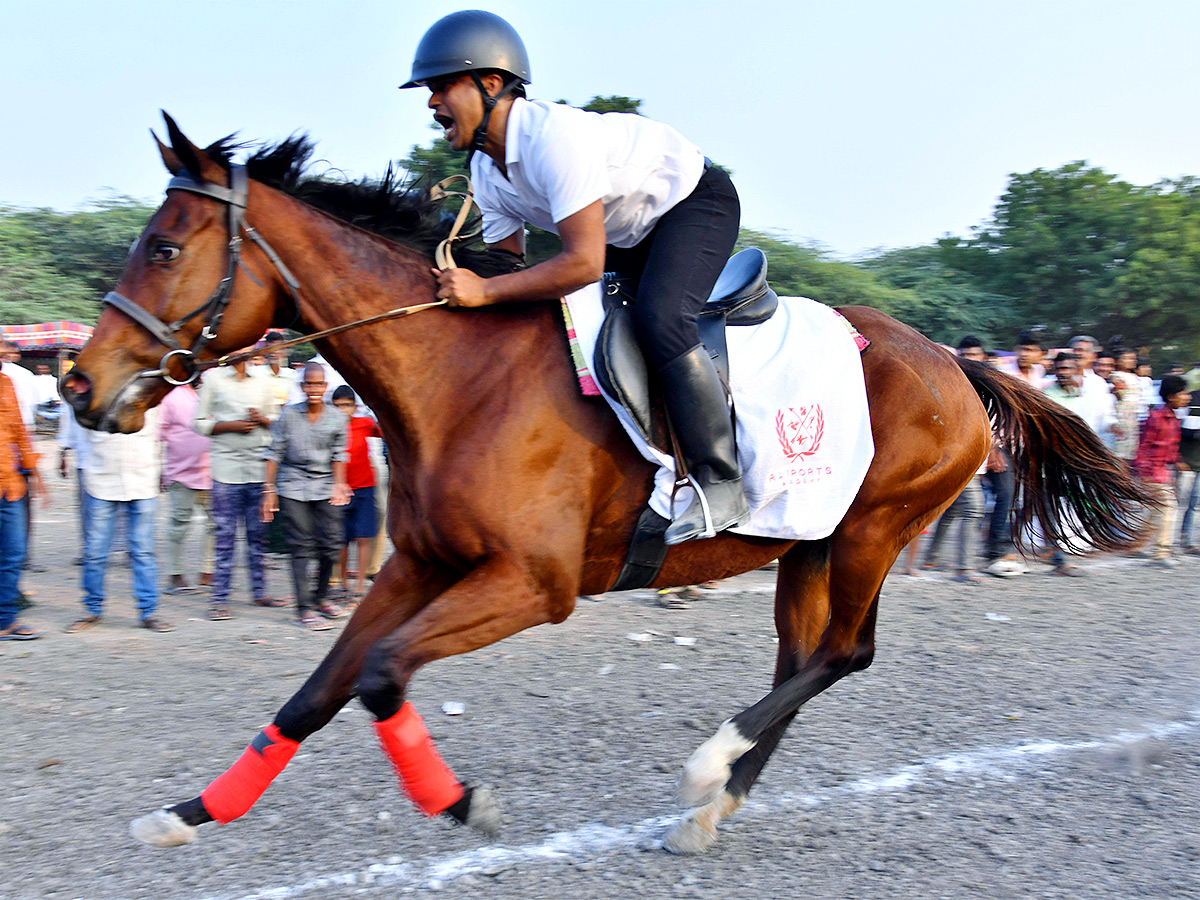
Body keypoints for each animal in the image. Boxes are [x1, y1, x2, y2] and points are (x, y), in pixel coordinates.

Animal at [60, 120, 1147, 859]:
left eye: (164, 247)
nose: (75, 387)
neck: (455, 379)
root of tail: (960, 364)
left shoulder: (531, 585)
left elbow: (379, 677)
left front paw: (464, 804)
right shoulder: (419, 564)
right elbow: (317, 691)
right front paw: (190, 813)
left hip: (871, 530)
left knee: (845, 653)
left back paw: (710, 768)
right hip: (809, 541)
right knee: (808, 657)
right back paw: (714, 806)